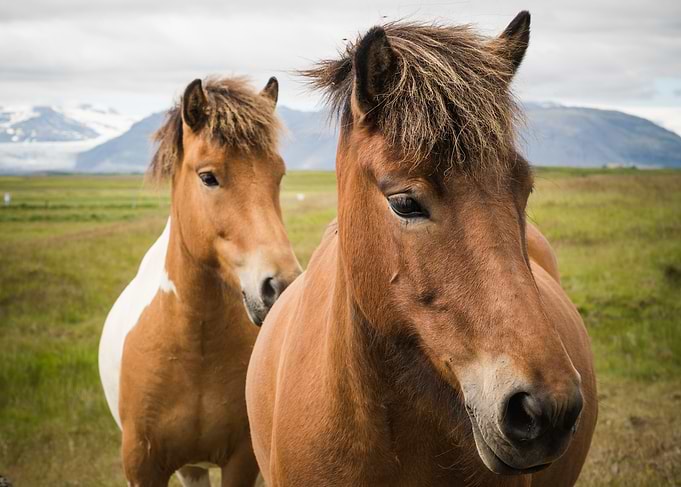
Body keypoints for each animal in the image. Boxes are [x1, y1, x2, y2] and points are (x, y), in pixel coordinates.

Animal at [98, 76, 302, 487]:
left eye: (279, 175)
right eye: (208, 177)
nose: (280, 286)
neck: (195, 348)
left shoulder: (241, 460)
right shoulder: (142, 466)